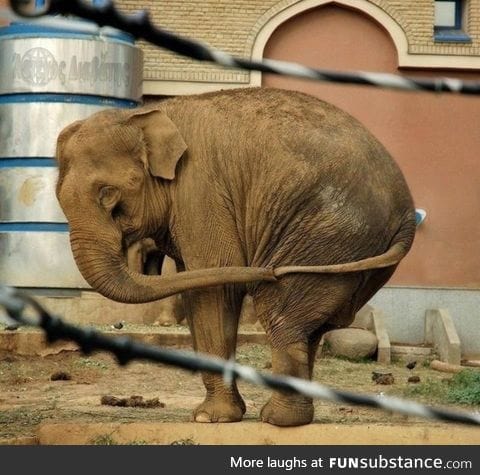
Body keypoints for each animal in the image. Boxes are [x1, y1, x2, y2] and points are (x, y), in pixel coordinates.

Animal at [55, 88, 416, 428]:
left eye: (109, 196)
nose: (269, 270)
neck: (145, 114)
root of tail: (408, 216)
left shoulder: (199, 192)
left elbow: (213, 286)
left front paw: (210, 419)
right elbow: (196, 285)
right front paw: (218, 416)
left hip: (326, 234)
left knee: (283, 314)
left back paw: (278, 420)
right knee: (311, 323)